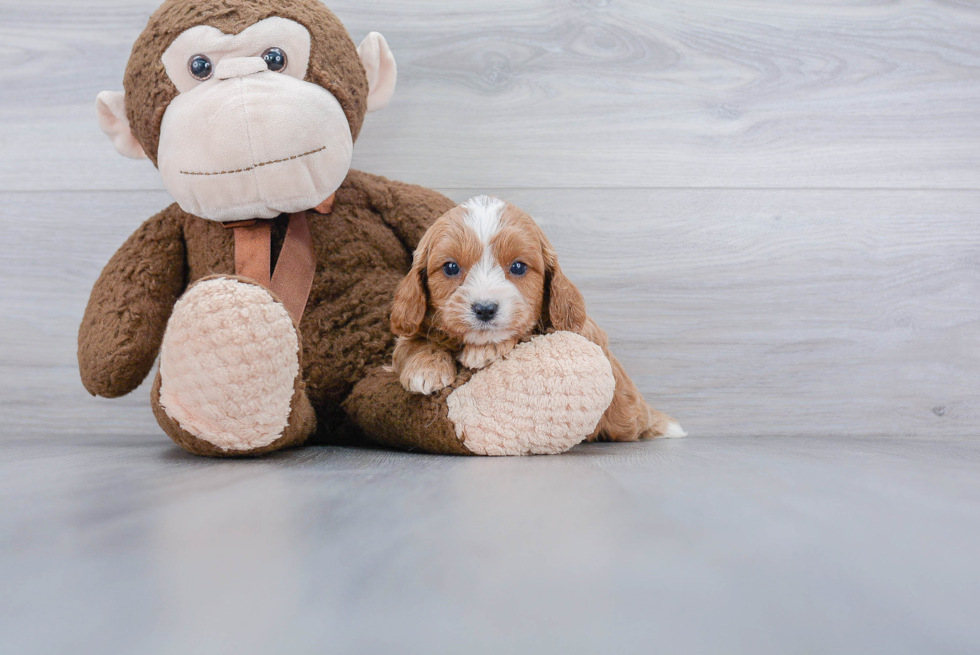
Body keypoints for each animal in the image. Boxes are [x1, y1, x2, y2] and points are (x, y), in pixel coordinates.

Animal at [386, 195, 684, 440]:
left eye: (518, 267)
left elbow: (526, 332)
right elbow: (411, 345)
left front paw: (486, 349)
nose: (485, 309)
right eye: (450, 267)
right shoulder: (411, 330)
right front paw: (425, 368)